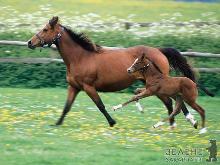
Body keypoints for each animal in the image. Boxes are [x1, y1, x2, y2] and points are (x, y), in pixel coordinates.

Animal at [27, 16, 196, 127]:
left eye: (45, 29)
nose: (30, 43)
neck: (80, 57)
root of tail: (159, 50)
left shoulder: (88, 87)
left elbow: (100, 105)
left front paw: (112, 122)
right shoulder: (74, 87)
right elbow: (67, 106)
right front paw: (57, 123)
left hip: (159, 84)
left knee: (174, 101)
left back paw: (187, 121)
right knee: (170, 102)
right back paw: (173, 124)